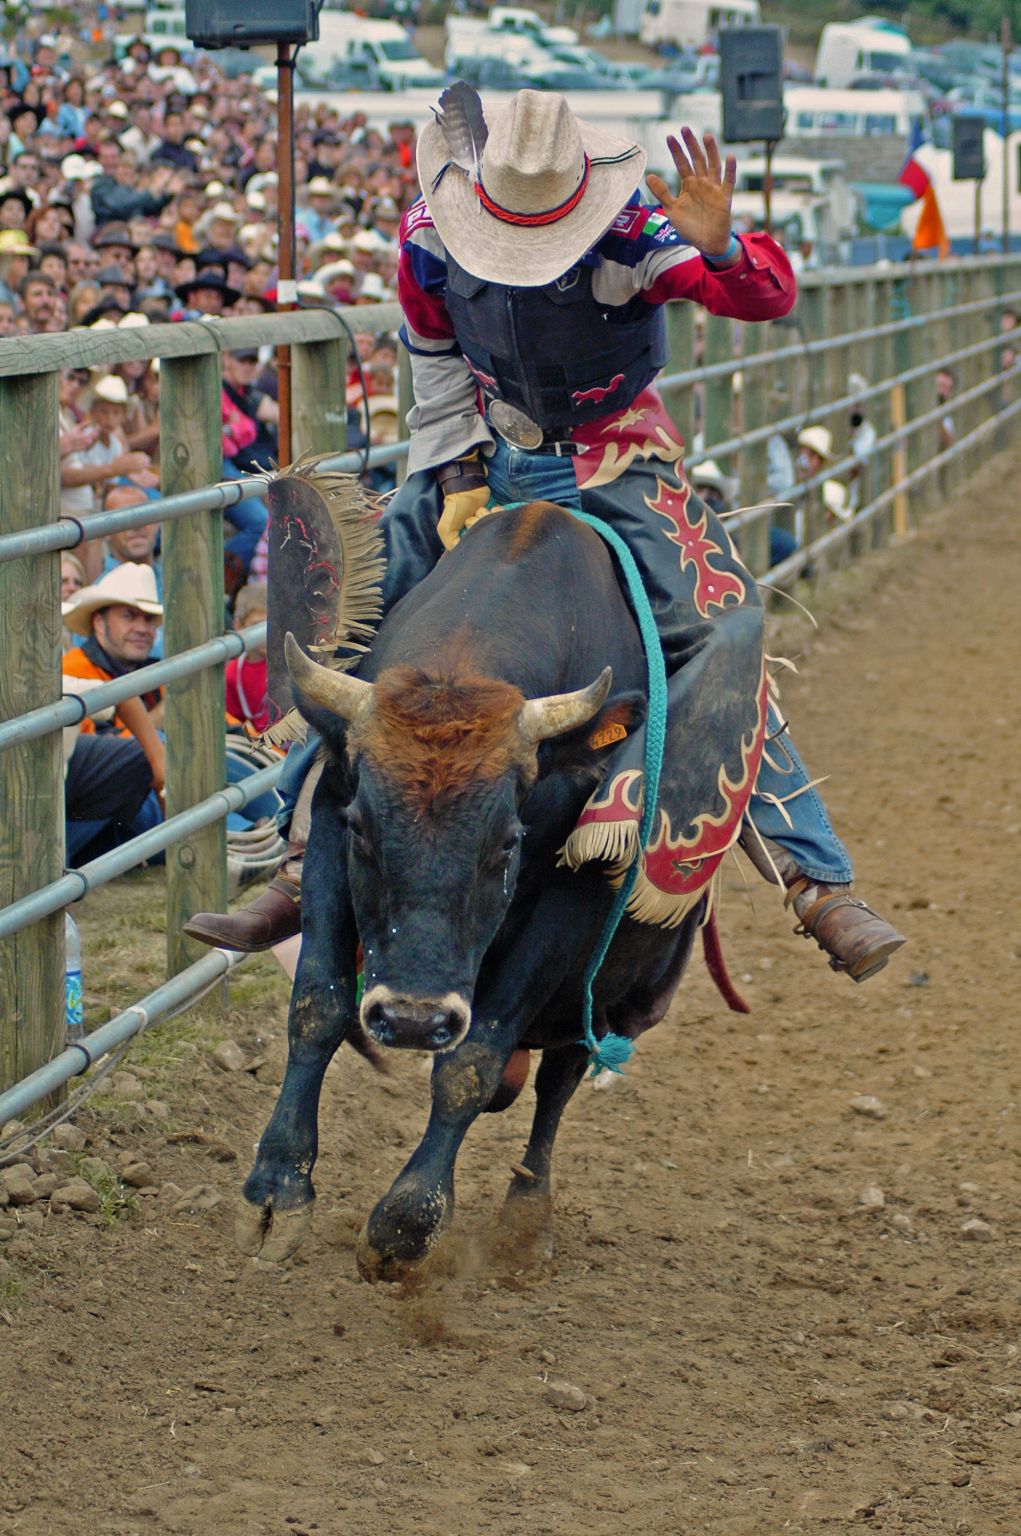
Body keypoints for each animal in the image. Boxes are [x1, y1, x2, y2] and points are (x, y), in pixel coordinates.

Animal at [236, 497, 700, 1277]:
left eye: (507, 842)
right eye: (364, 830)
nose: (412, 1021)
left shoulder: (574, 895)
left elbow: (473, 1062)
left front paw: (405, 1222)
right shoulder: (329, 826)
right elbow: (317, 1006)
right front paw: (279, 1188)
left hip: (595, 991)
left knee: (559, 1075)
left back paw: (527, 1218)